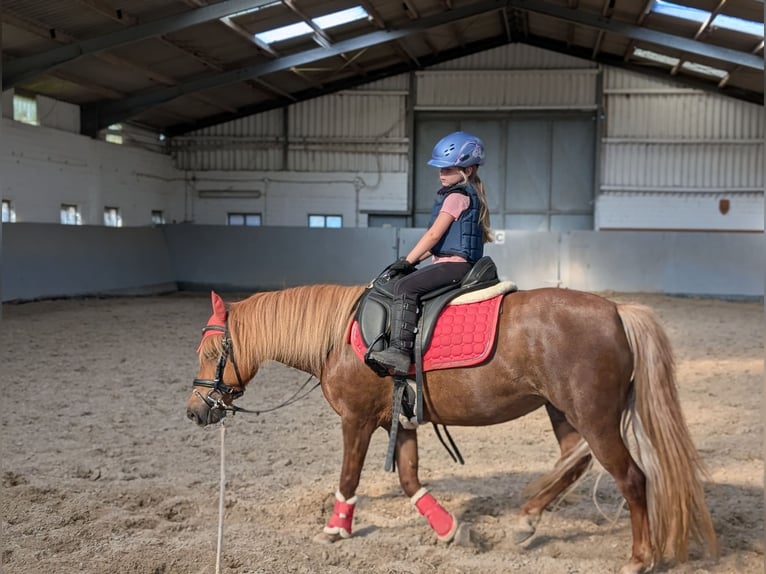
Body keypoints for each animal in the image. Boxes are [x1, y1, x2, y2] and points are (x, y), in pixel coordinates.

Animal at [186, 283, 718, 574]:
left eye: (211, 352)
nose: (195, 411)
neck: (341, 336)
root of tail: (616, 311)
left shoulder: (357, 420)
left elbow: (349, 477)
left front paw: (335, 529)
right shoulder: (398, 420)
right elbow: (408, 479)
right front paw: (449, 531)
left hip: (594, 417)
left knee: (632, 479)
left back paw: (638, 557)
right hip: (564, 413)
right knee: (574, 464)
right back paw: (526, 520)